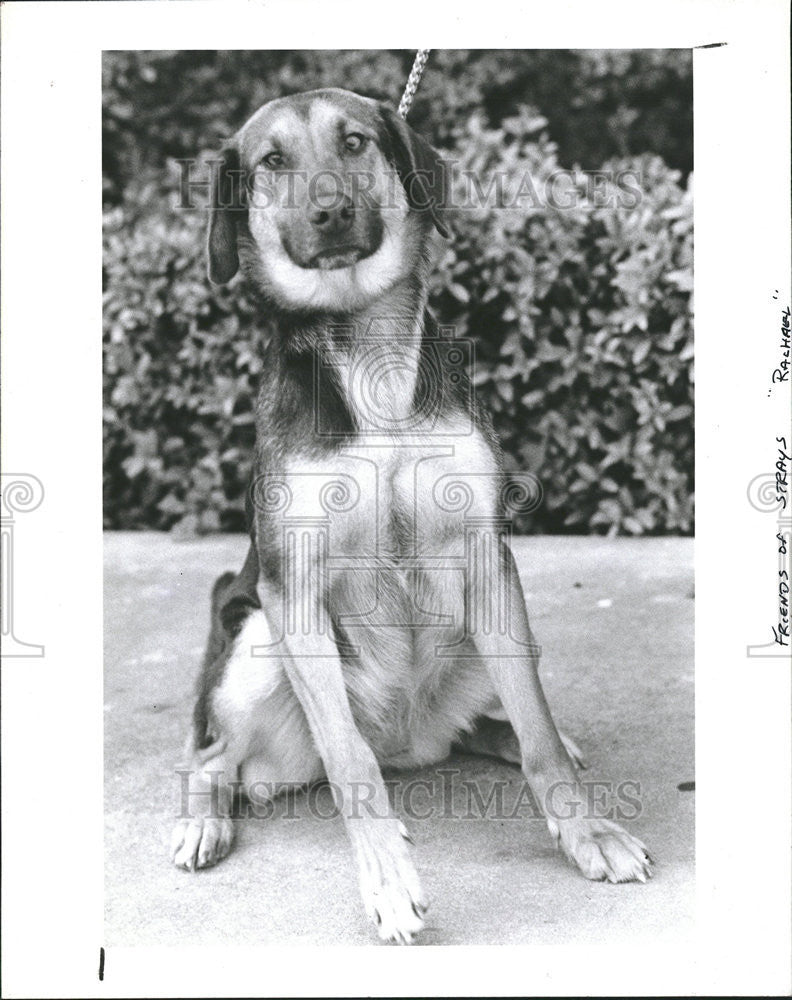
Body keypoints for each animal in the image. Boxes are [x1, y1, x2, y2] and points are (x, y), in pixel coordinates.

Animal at [169, 90, 648, 940]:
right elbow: (349, 763)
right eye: (272, 161)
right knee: (220, 757)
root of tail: (407, 744)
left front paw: (587, 830)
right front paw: (388, 880)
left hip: (486, 627)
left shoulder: (487, 556)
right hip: (255, 637)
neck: (368, 351)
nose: (330, 211)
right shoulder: (291, 590)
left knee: (497, 722)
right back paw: (205, 817)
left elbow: (538, 737)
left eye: (356, 142)